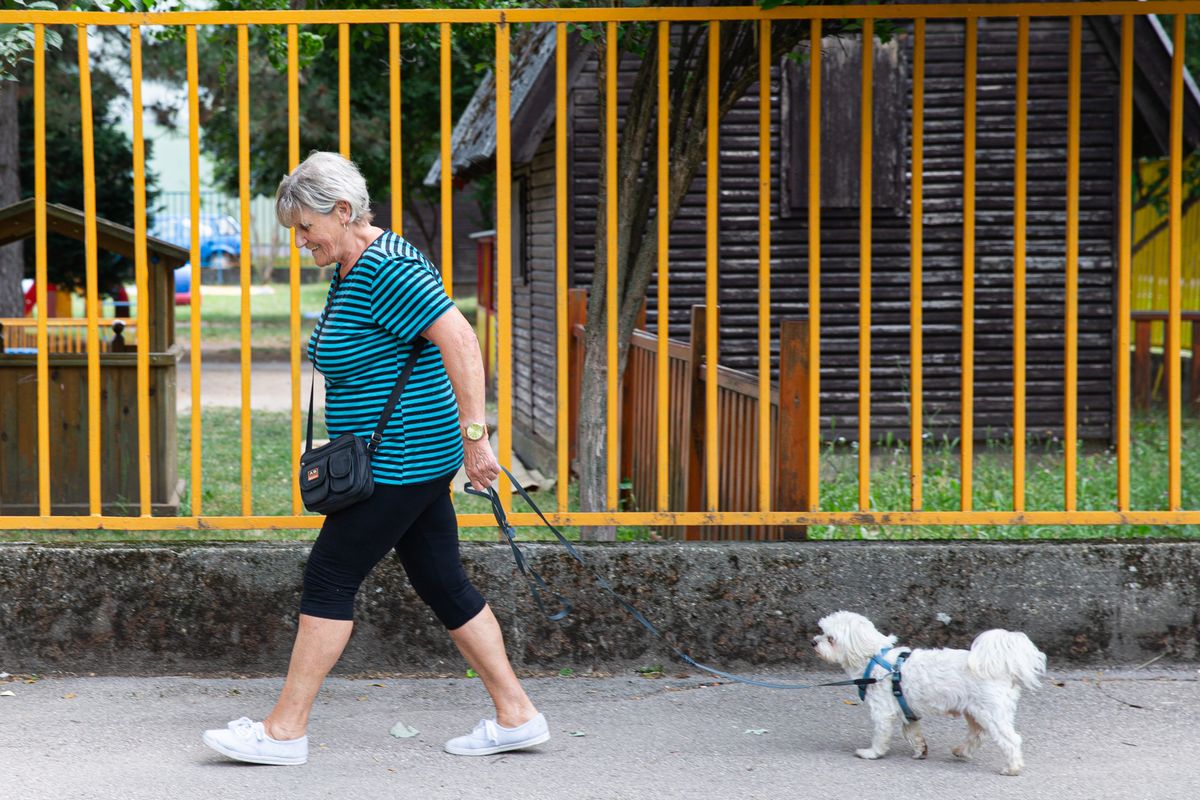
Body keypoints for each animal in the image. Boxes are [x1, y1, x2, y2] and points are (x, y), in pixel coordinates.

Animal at [811, 614, 1046, 777]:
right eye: (821, 631)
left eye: (830, 639)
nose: (814, 642)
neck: (875, 659)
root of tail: (1002, 668)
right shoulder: (907, 710)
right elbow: (912, 732)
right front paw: (919, 750)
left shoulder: (882, 711)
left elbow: (880, 735)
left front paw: (872, 753)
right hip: (974, 711)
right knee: (977, 734)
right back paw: (962, 751)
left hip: (990, 712)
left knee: (1010, 739)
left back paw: (1012, 768)